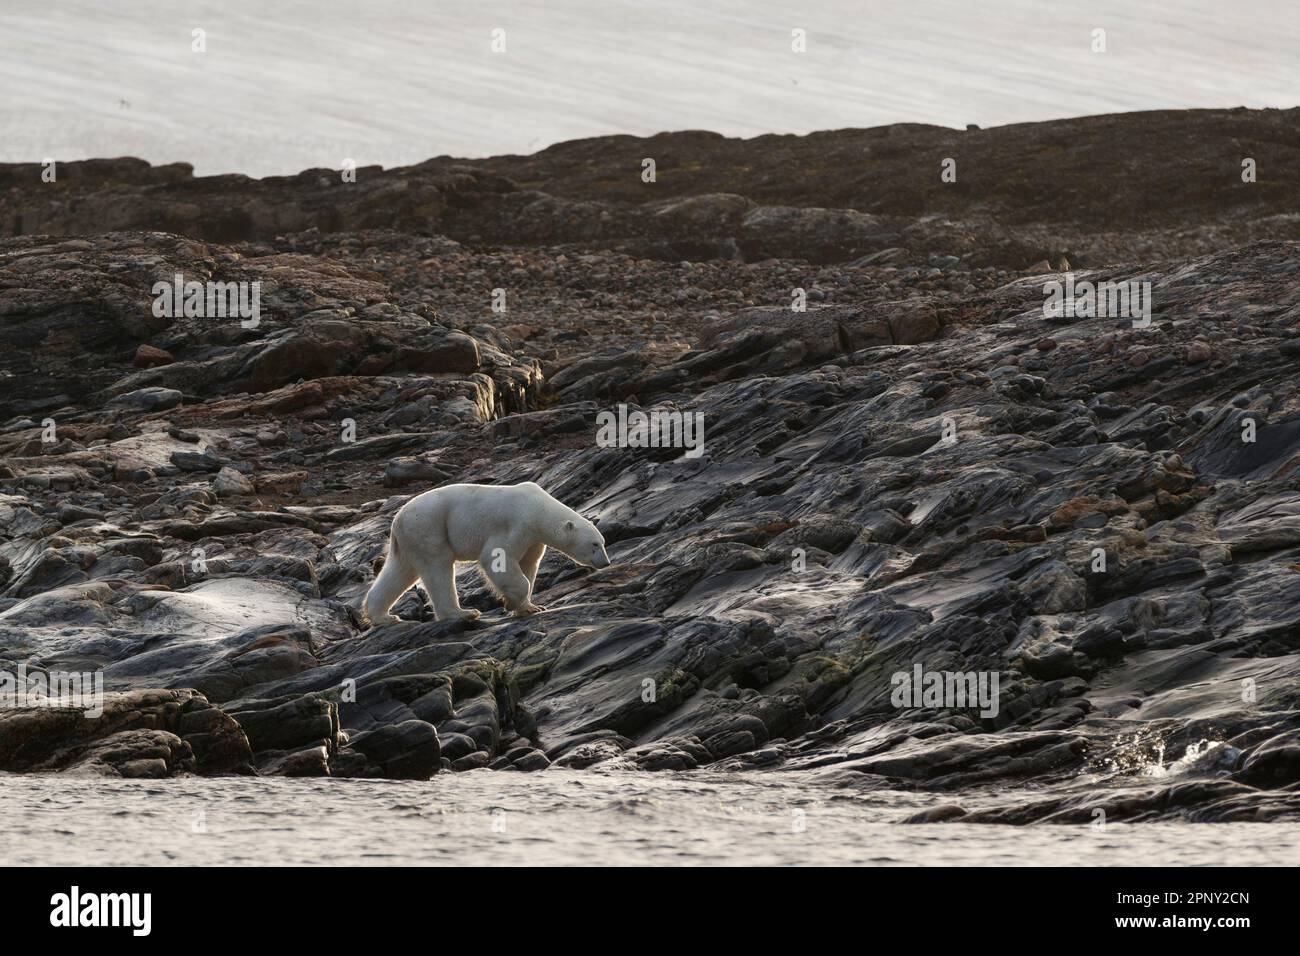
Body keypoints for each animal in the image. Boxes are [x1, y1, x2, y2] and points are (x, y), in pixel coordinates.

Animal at [364, 478, 611, 629]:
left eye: (603, 542)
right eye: (594, 545)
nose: (606, 563)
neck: (538, 508)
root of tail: (397, 519)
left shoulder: (533, 539)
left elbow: (529, 565)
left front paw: (530, 607)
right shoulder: (517, 524)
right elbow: (496, 558)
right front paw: (510, 603)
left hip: (410, 538)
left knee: (400, 571)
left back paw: (384, 616)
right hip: (429, 526)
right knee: (438, 567)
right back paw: (463, 613)